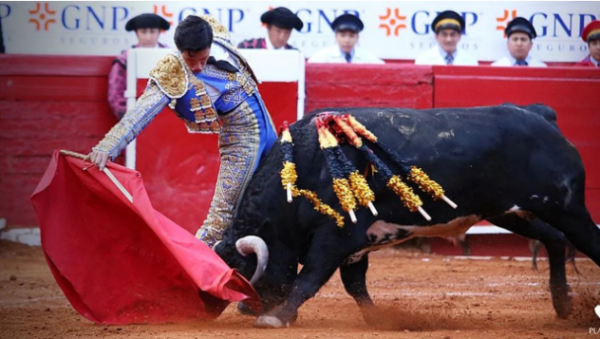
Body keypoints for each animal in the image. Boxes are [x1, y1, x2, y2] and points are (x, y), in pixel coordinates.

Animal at [216, 104, 600, 330]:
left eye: (243, 271)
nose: (244, 309)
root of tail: (541, 116)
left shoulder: (337, 236)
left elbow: (308, 278)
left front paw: (276, 317)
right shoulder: (357, 245)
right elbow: (354, 284)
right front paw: (378, 320)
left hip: (566, 207)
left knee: (584, 239)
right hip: (509, 212)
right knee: (554, 238)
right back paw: (562, 304)